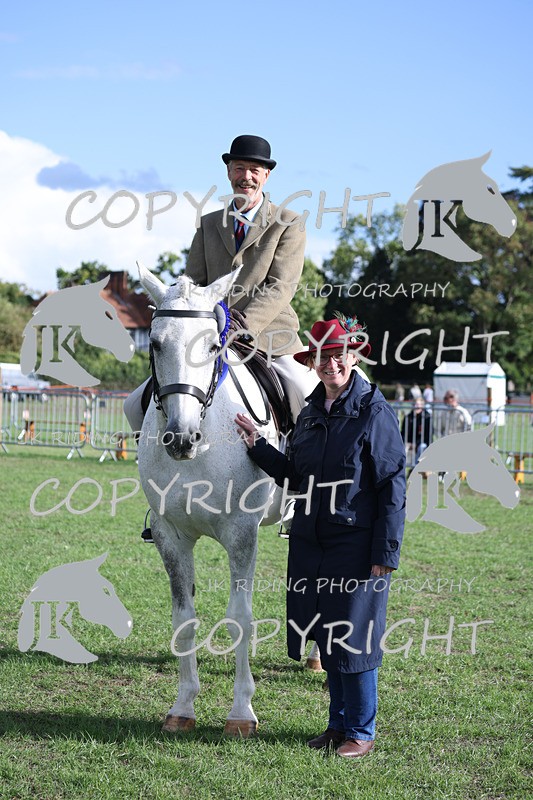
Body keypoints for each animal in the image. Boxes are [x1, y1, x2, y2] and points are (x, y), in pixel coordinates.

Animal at [136, 263, 286, 737]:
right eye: (156, 342)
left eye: (213, 345)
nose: (181, 439)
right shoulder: (170, 536)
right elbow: (184, 620)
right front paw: (183, 706)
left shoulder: (241, 535)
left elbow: (240, 619)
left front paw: (241, 713)